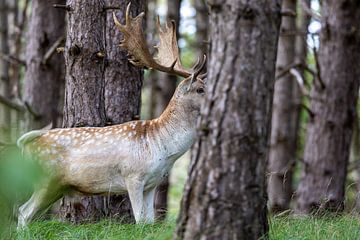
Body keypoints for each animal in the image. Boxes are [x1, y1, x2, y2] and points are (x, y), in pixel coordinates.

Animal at [16, 1, 207, 228]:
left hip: (56, 187)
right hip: (46, 179)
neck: (161, 145)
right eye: (200, 89)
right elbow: (140, 221)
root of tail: (26, 141)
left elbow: (149, 222)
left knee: (26, 211)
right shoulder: (133, 175)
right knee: (24, 212)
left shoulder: (152, 184)